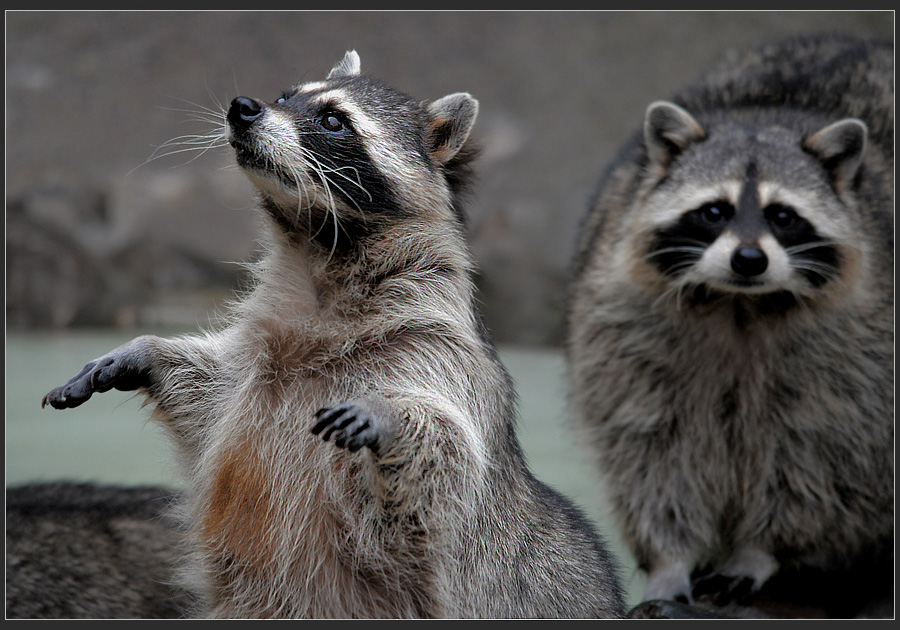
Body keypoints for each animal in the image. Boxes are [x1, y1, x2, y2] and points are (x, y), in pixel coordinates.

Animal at [40, 50, 624, 624]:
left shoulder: (440, 351)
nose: (243, 106)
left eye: (332, 120)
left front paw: (392, 418)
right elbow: (207, 395)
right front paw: (149, 351)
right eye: (285, 95)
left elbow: (449, 462)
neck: (317, 257)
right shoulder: (255, 361)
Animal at [568, 33, 892, 612]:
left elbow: (817, 451)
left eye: (783, 216)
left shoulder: (858, 349)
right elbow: (651, 446)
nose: (748, 259)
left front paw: (760, 551)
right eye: (714, 211)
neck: (740, 304)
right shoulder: (622, 325)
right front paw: (668, 560)